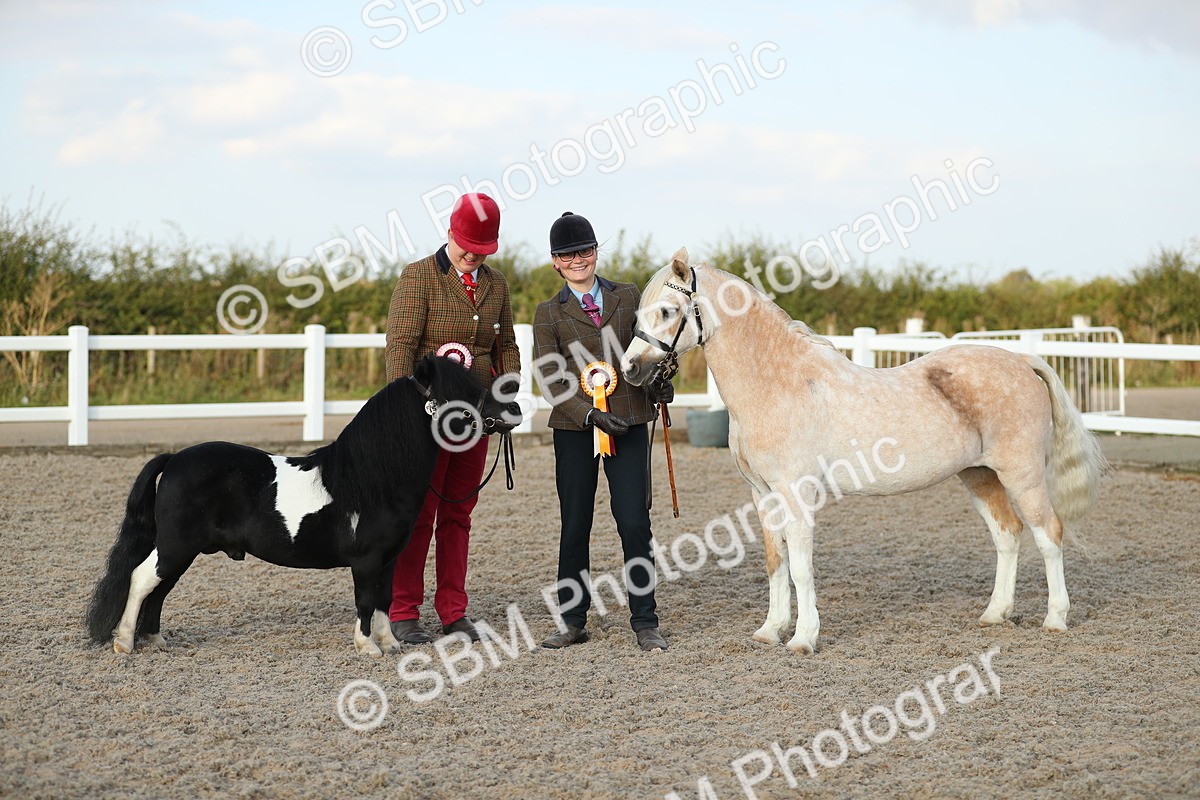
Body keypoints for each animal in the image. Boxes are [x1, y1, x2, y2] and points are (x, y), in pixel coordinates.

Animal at [86, 355, 519, 657]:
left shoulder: (389, 559)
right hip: (176, 545)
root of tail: (174, 458)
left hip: (182, 550)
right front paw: (368, 648)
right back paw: (124, 644)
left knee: (159, 589)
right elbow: (366, 600)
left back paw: (155, 641)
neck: (373, 477)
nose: (513, 410)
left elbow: (383, 600)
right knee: (142, 579)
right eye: (458, 393)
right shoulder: (366, 560)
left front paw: (389, 644)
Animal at [621, 248, 1107, 654]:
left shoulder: (796, 495)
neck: (778, 383)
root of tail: (1023, 361)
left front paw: (803, 640)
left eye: (667, 311)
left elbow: (801, 568)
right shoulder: (763, 495)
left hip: (1022, 475)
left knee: (1049, 534)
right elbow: (776, 562)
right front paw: (770, 631)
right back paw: (994, 614)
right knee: (1007, 534)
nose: (629, 369)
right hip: (979, 475)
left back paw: (1055, 619)